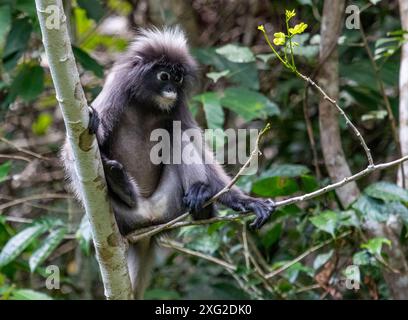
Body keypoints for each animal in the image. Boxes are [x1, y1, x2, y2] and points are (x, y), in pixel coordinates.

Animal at [62, 26, 276, 298]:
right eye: (164, 76)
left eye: (178, 79)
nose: (171, 90)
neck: (146, 105)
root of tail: (148, 221)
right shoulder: (117, 89)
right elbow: (72, 151)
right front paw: (95, 125)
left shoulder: (177, 107)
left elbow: (200, 148)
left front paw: (246, 201)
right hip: (121, 218)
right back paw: (122, 186)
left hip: (171, 204)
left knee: (177, 135)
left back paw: (201, 200)